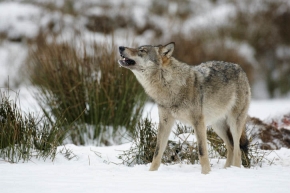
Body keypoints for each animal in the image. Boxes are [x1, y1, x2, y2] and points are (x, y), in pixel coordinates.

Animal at [116, 42, 250, 175]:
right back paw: (227, 170)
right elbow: (157, 153)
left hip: (233, 124)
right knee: (231, 147)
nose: (120, 47)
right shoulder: (165, 122)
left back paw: (235, 171)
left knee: (238, 150)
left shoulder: (198, 122)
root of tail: (240, 68)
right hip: (217, 126)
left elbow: (202, 152)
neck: (169, 86)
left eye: (142, 50)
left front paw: (206, 174)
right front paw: (151, 173)